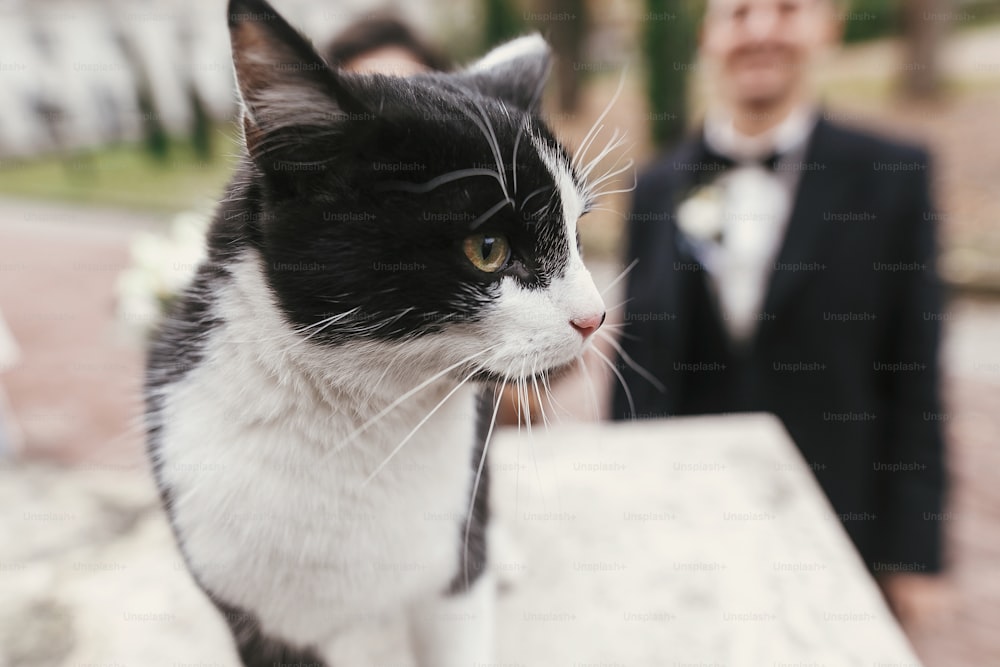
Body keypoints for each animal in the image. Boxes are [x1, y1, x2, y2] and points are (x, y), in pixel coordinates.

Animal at [145, 2, 604, 664]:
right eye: (488, 248)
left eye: (575, 234)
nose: (595, 317)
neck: (365, 425)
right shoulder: (256, 608)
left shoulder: (451, 565)